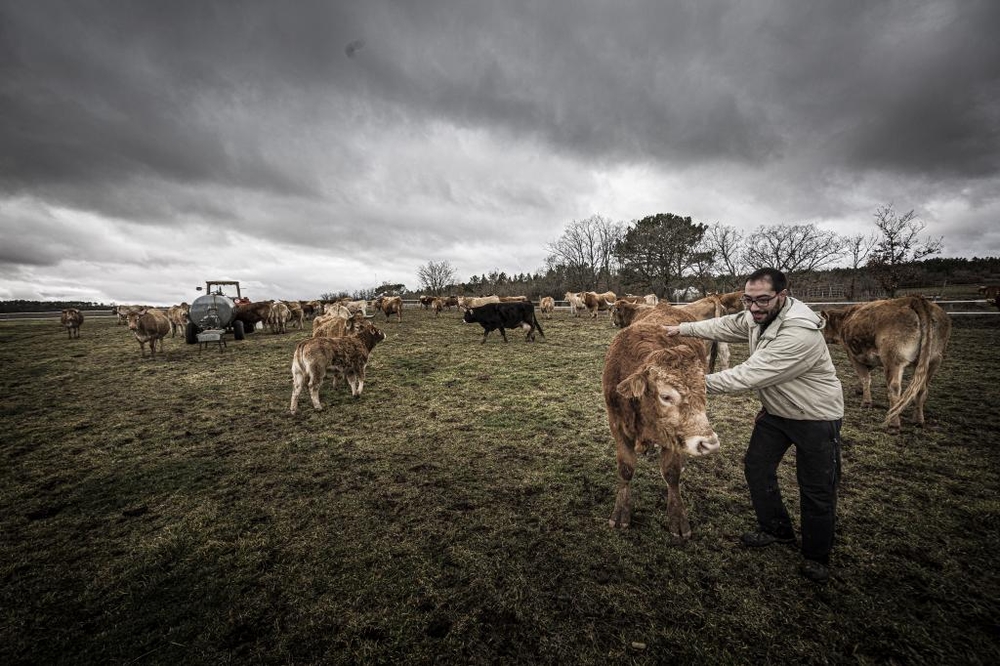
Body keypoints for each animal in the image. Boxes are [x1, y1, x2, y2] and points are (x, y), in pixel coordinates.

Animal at [600, 304, 720, 536]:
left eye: (704, 391)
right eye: (666, 396)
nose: (709, 443)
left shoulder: (673, 436)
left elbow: (671, 473)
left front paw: (677, 517)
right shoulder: (617, 425)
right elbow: (626, 468)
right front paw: (620, 513)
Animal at [820, 296, 952, 430]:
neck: (845, 319)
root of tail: (915, 299)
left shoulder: (853, 355)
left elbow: (865, 378)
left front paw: (866, 402)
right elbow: (867, 374)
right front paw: (859, 389)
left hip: (892, 359)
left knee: (894, 388)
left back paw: (894, 422)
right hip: (933, 361)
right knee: (921, 389)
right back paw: (918, 420)